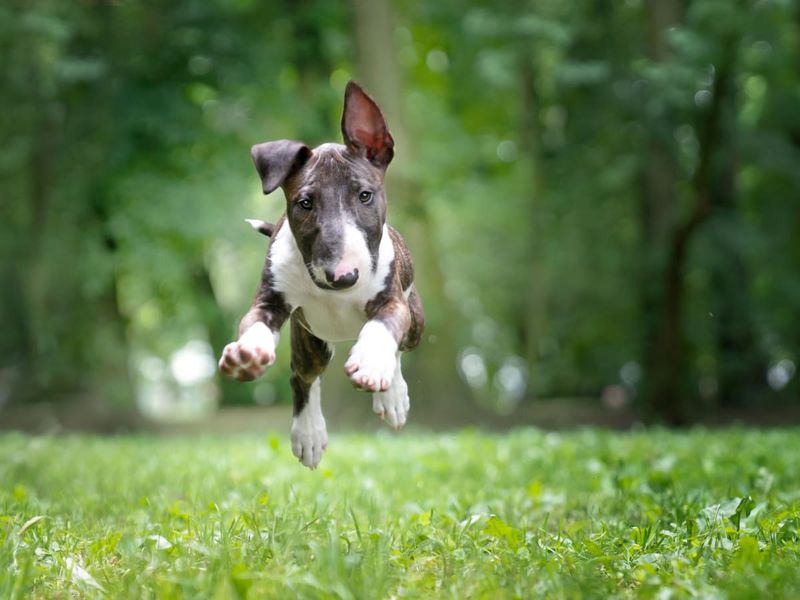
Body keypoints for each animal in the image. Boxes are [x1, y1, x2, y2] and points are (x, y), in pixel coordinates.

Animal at [216, 82, 422, 472]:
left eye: (365, 195)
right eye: (305, 203)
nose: (343, 276)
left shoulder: (391, 301)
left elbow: (383, 327)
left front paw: (372, 364)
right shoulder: (270, 301)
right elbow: (255, 324)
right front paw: (248, 352)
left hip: (416, 318)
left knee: (402, 344)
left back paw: (392, 397)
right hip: (311, 340)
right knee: (304, 376)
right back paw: (309, 434)